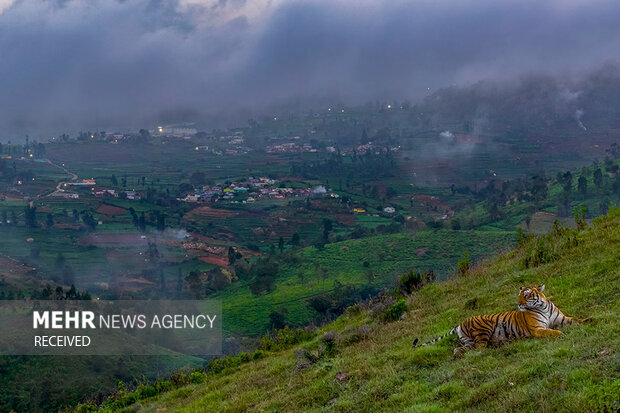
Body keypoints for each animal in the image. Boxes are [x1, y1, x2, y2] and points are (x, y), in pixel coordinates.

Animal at [412, 284, 592, 356]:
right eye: (519, 295)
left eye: (526, 295)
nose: (518, 304)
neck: (542, 307)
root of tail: (459, 324)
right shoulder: (537, 329)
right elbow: (551, 332)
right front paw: (560, 334)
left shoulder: (562, 318)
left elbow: (576, 319)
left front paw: (590, 320)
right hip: (484, 329)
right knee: (480, 348)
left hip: (467, 341)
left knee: (460, 349)